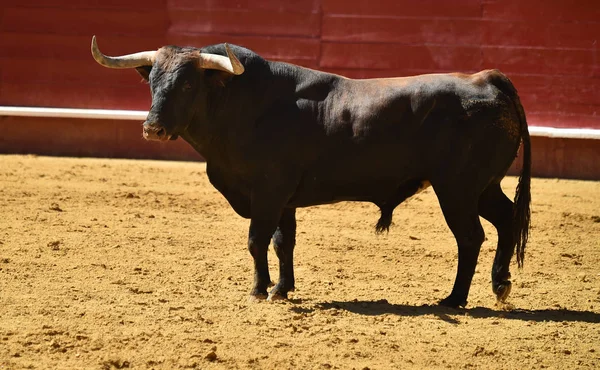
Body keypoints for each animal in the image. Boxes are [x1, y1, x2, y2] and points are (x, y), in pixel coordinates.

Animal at [91, 39, 532, 308]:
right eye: (152, 82)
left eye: (186, 86)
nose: (153, 128)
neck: (245, 105)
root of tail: (485, 78)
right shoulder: (284, 199)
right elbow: (283, 243)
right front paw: (281, 289)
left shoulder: (267, 192)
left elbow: (256, 240)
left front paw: (258, 291)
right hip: (483, 187)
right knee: (506, 220)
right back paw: (500, 284)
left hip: (456, 189)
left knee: (470, 237)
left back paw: (455, 299)